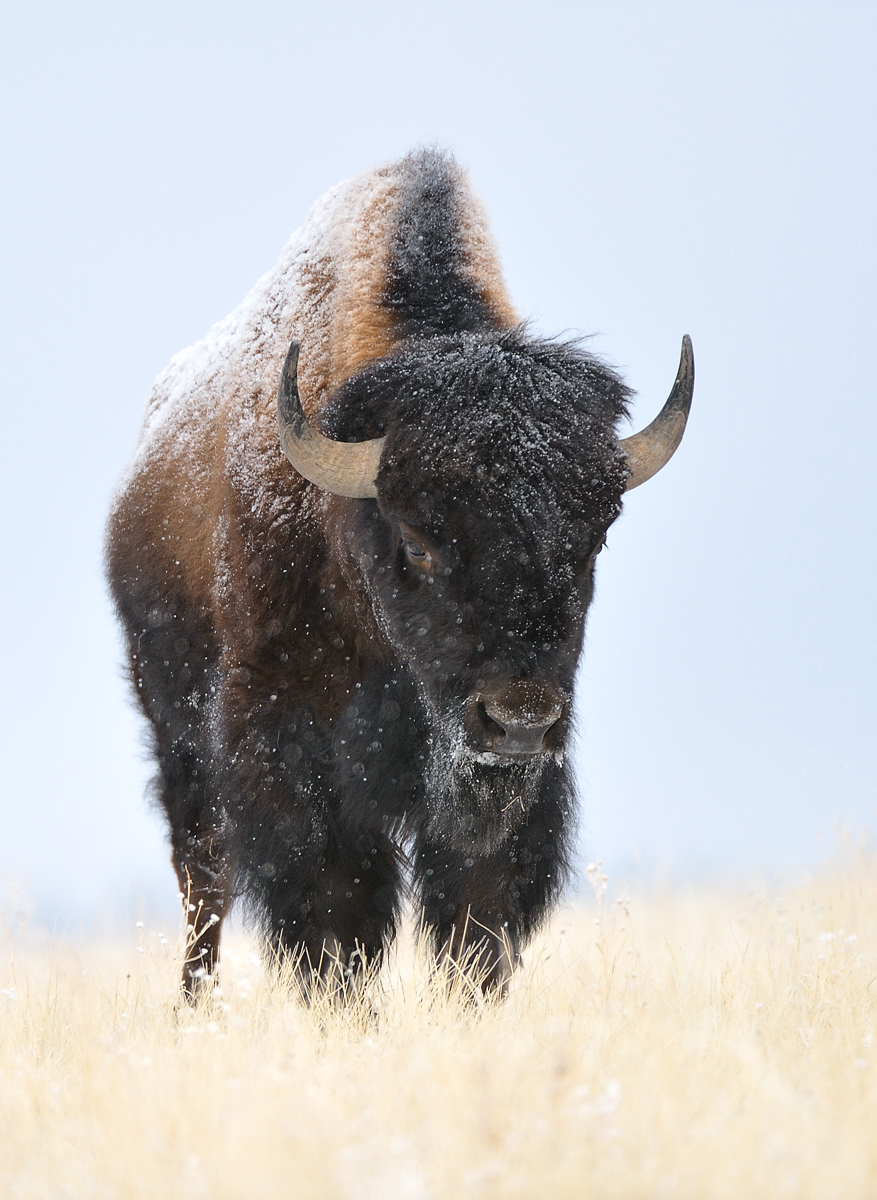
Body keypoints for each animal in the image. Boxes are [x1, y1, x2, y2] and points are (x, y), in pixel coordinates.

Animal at [107, 149, 693, 996]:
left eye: (594, 538)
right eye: (416, 543)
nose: (517, 720)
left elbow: (474, 919)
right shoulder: (289, 753)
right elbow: (335, 914)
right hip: (175, 732)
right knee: (203, 882)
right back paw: (195, 1004)